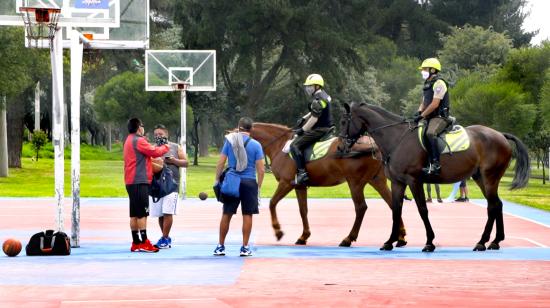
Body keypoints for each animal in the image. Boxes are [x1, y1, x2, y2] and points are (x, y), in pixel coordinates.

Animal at [252, 121, 408, 247]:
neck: (279, 146)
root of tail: (373, 145)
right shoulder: (299, 186)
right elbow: (303, 210)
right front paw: (304, 236)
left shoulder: (286, 183)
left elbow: (272, 203)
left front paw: (278, 231)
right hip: (377, 180)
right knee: (393, 204)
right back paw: (400, 237)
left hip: (355, 183)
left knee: (361, 208)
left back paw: (348, 238)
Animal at [338, 102, 532, 251]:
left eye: (343, 121)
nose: (340, 148)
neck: (397, 139)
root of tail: (501, 135)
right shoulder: (397, 183)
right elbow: (396, 210)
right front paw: (390, 242)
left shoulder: (414, 181)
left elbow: (422, 209)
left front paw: (429, 242)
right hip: (481, 179)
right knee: (497, 205)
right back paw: (494, 241)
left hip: (490, 178)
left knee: (492, 206)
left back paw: (482, 242)